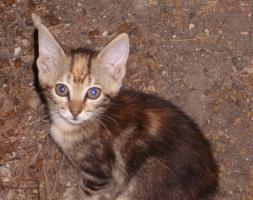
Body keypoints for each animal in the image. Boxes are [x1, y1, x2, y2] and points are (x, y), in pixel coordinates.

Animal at [31, 13, 217, 199]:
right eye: (61, 89)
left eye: (93, 93)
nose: (75, 112)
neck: (71, 127)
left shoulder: (98, 171)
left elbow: (87, 191)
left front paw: (76, 194)